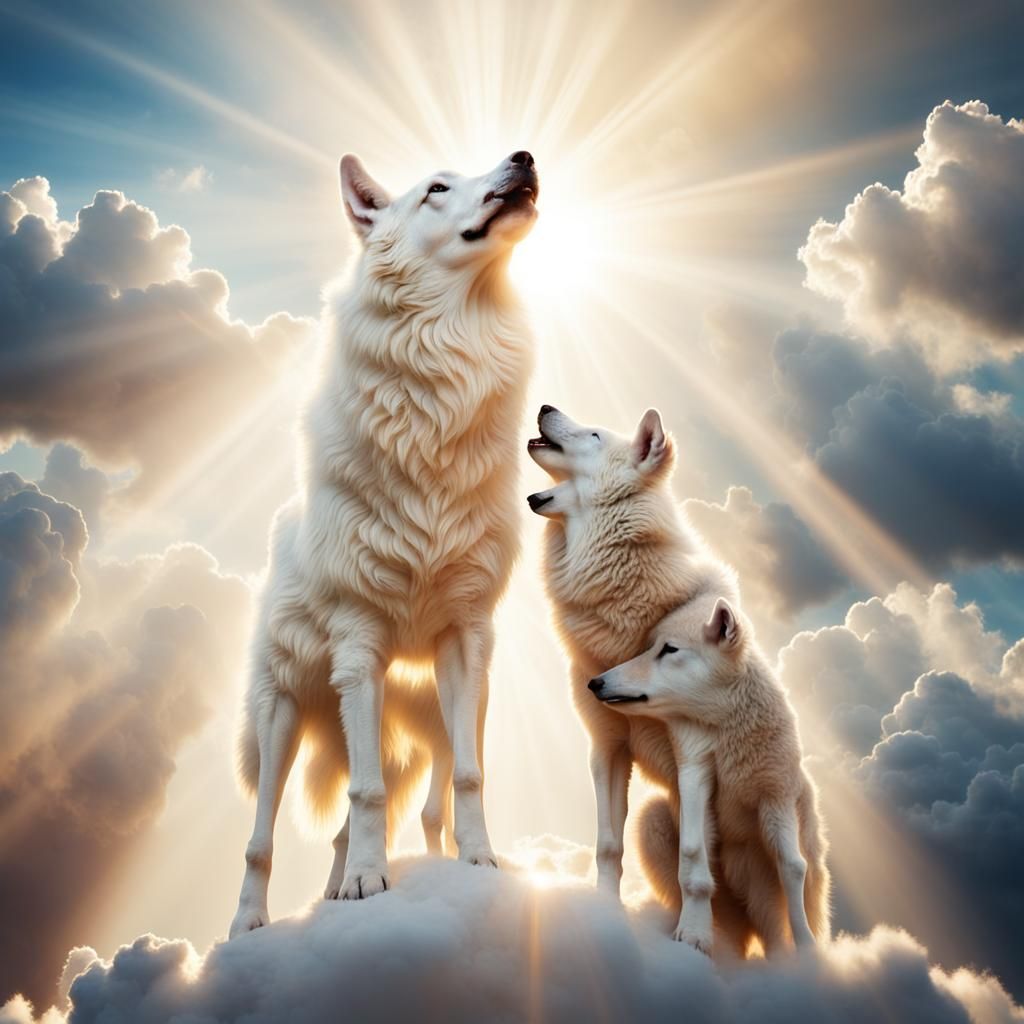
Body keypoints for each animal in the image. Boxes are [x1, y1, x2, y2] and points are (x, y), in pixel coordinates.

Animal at [230, 150, 539, 938]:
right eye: (436, 188)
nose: (523, 157)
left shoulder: (466, 639)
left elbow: (469, 775)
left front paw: (478, 863)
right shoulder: (360, 643)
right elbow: (361, 794)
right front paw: (372, 883)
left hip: (425, 719)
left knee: (374, 812)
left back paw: (339, 889)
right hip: (282, 714)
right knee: (261, 834)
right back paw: (250, 924)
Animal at [526, 404, 744, 950]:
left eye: (594, 434)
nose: (544, 407)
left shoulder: (693, 754)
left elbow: (696, 863)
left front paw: (694, 936)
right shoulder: (606, 747)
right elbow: (607, 844)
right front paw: (605, 915)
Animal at [591, 596, 831, 955]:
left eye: (669, 649)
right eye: (649, 647)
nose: (596, 682)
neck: (727, 733)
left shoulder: (777, 795)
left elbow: (793, 868)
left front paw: (807, 950)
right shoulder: (694, 776)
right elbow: (692, 853)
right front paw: (693, 934)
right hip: (652, 815)